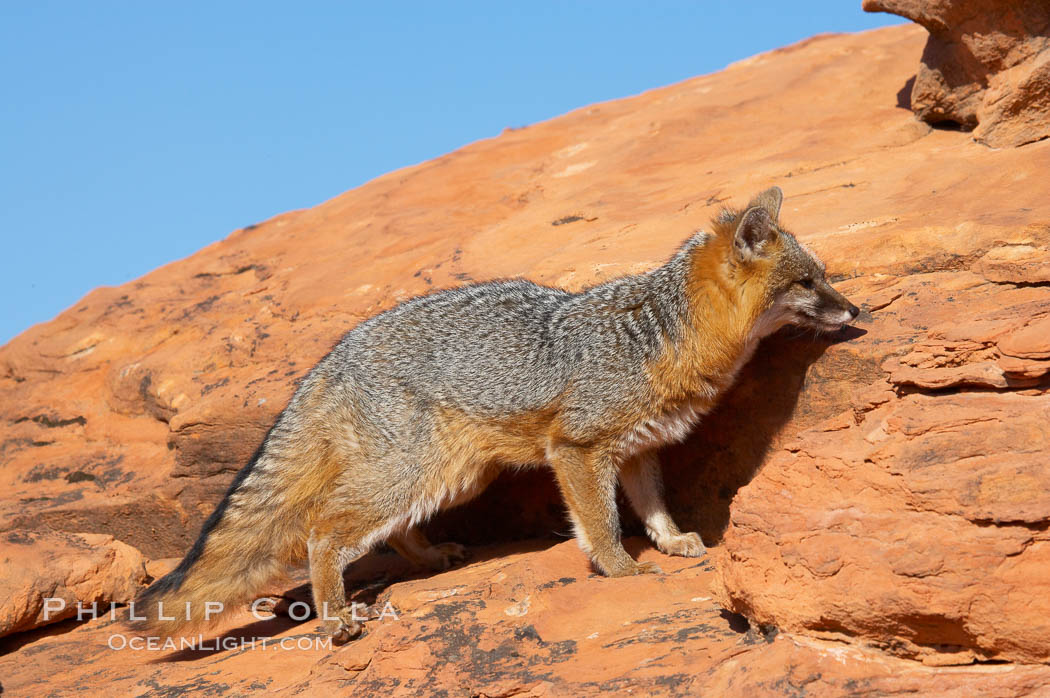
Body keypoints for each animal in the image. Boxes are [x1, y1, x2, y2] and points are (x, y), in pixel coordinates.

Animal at [137, 186, 860, 642]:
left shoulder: (638, 449)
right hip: (411, 473)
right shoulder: (578, 450)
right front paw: (620, 569)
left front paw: (673, 540)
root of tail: (334, 354)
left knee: (389, 530)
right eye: (808, 283)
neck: (660, 337)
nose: (855, 311)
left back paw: (430, 556)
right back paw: (336, 618)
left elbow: (653, 505)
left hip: (453, 477)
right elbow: (601, 522)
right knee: (322, 529)